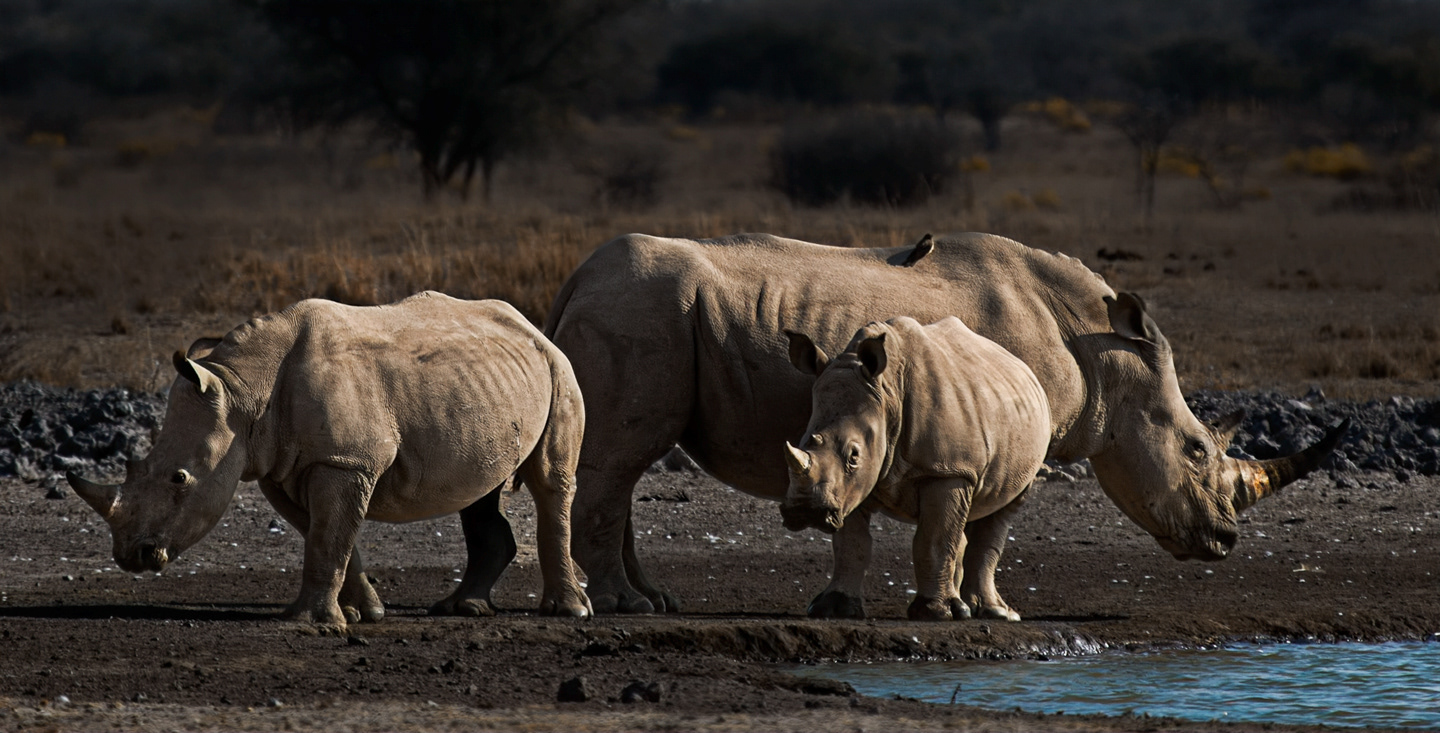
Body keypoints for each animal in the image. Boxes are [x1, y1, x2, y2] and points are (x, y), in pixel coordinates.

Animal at [68, 292, 592, 628]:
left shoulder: (345, 461)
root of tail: (530, 325)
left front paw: (309, 622)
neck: (242, 392)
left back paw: (570, 612)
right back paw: (461, 608)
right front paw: (365, 613)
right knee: (480, 490)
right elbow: (327, 535)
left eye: (179, 478)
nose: (132, 556)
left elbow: (327, 537)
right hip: (490, 384)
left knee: (550, 483)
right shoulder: (286, 468)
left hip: (559, 367)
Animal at [784, 317, 1051, 621]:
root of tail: (1022, 366)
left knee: (1000, 510)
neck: (887, 394)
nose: (805, 510)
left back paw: (994, 613)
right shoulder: (849, 487)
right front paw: (834, 608)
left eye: (854, 455)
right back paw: (964, 605)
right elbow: (851, 544)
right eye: (805, 441)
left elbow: (933, 540)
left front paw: (936, 612)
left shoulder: (948, 471)